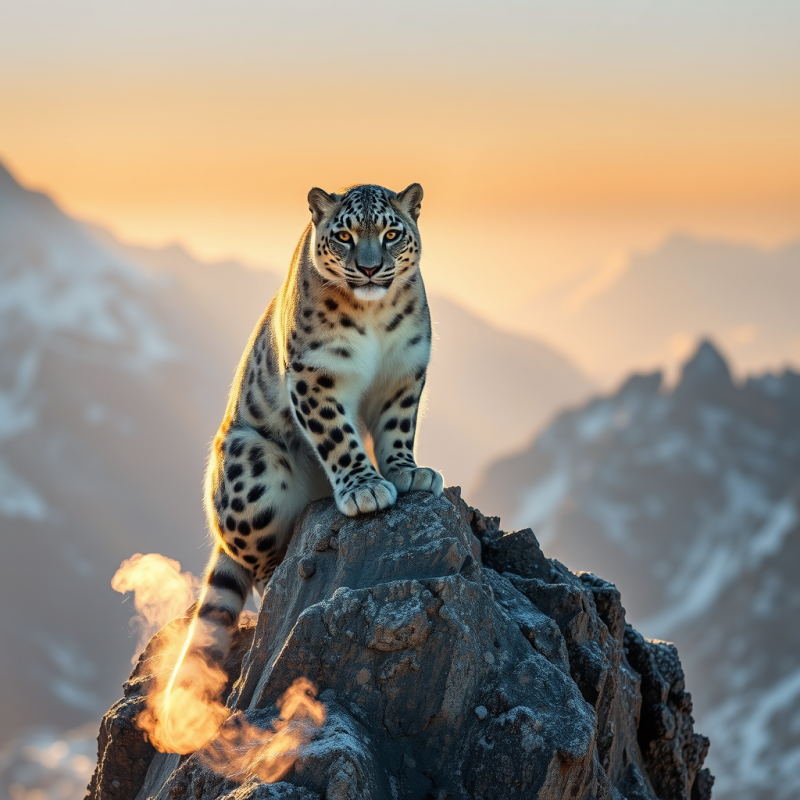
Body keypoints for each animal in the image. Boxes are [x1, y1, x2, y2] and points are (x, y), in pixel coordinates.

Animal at [169, 183, 443, 719]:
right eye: (344, 235)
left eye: (391, 233)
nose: (370, 268)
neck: (374, 317)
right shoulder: (315, 376)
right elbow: (339, 436)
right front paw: (365, 490)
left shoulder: (405, 370)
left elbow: (398, 428)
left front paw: (407, 471)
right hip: (250, 469)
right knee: (257, 565)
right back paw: (279, 570)